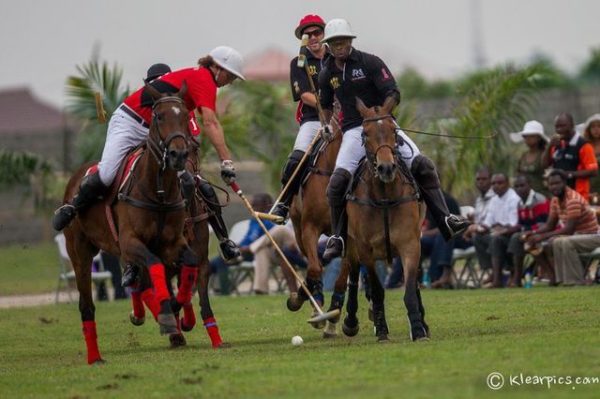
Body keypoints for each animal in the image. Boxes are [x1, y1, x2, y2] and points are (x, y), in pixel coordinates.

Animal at [62, 85, 196, 366]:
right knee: (86, 304)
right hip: (80, 252)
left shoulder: (172, 242)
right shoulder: (130, 241)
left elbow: (189, 262)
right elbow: (156, 265)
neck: (158, 191)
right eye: (159, 116)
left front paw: (178, 309)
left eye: (185, 115)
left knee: (141, 282)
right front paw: (168, 314)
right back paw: (95, 357)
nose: (178, 154)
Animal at [340, 97, 428, 344]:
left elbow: (409, 290)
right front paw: (381, 330)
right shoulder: (365, 249)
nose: (386, 168)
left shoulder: (410, 244)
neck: (385, 196)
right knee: (353, 274)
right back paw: (350, 322)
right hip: (350, 244)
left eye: (393, 130)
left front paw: (418, 329)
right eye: (365, 133)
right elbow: (377, 290)